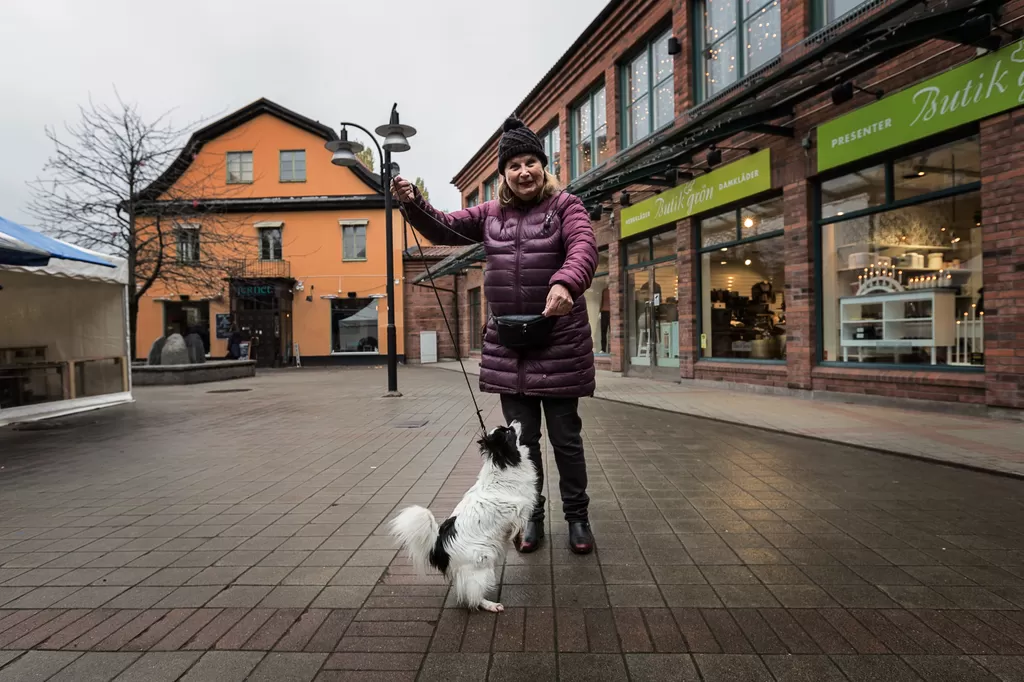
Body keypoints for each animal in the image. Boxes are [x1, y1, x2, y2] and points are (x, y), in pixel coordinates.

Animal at [387, 419, 540, 610]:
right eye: (508, 431)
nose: (516, 420)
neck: (503, 465)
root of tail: (438, 544)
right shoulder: (517, 508)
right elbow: (518, 522)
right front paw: (517, 535)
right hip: (483, 563)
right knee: (473, 596)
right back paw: (490, 605)